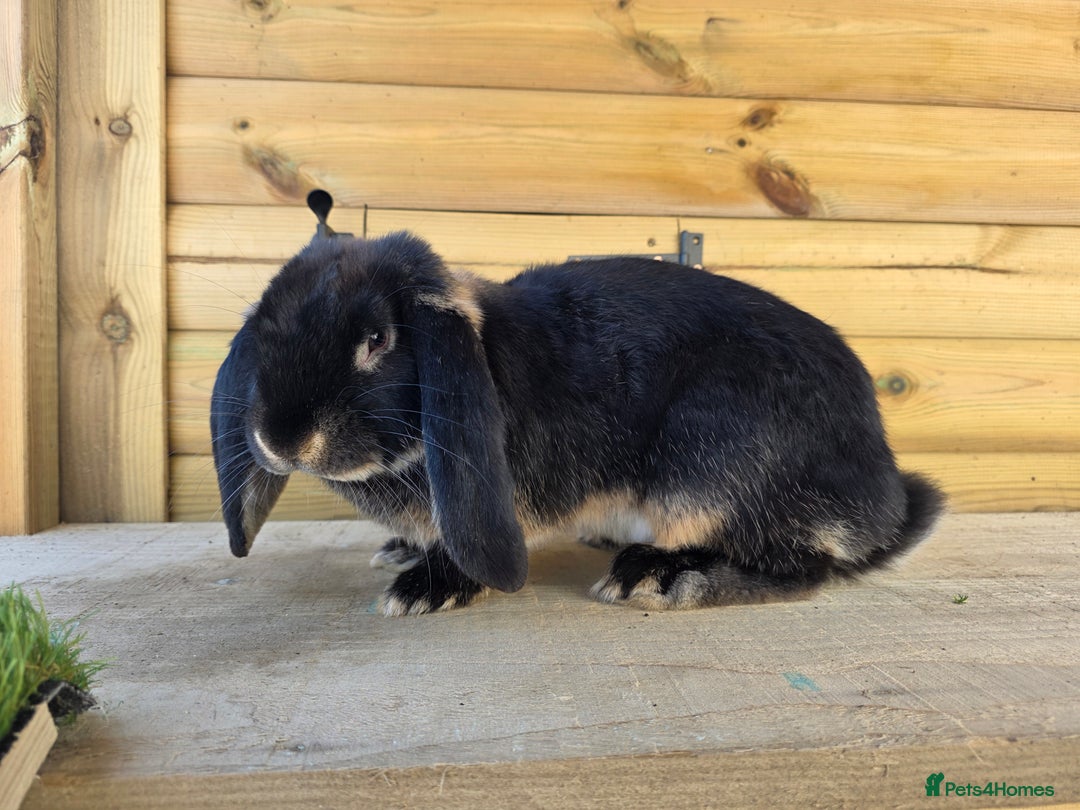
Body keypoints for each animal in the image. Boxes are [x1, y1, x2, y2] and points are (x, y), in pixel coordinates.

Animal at [211, 190, 945, 615]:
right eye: (263, 321)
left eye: (376, 340)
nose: (279, 439)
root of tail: (885, 500)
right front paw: (401, 553)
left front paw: (426, 588)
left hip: (707, 469)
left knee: (804, 565)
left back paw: (662, 579)